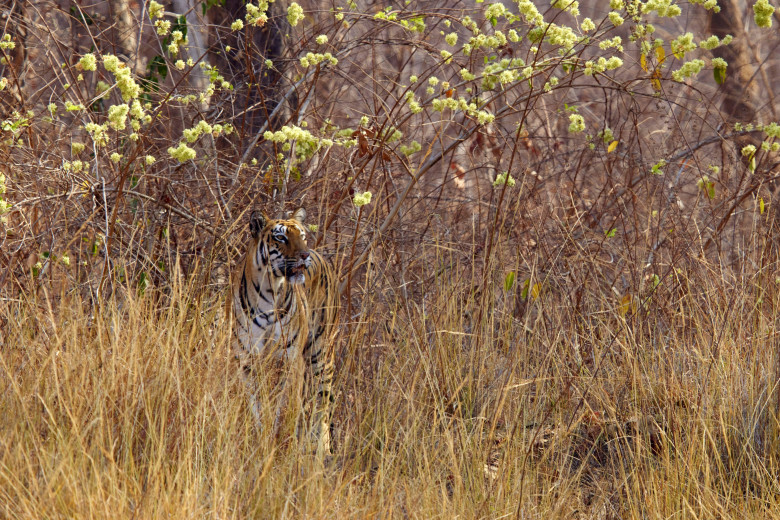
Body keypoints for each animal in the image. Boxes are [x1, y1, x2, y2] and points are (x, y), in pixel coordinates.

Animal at [232, 207, 342, 456]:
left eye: (302, 236)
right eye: (281, 237)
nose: (304, 255)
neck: (270, 290)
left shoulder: (290, 361)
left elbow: (281, 405)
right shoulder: (246, 360)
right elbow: (255, 405)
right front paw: (259, 436)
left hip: (321, 354)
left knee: (322, 401)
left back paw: (321, 448)